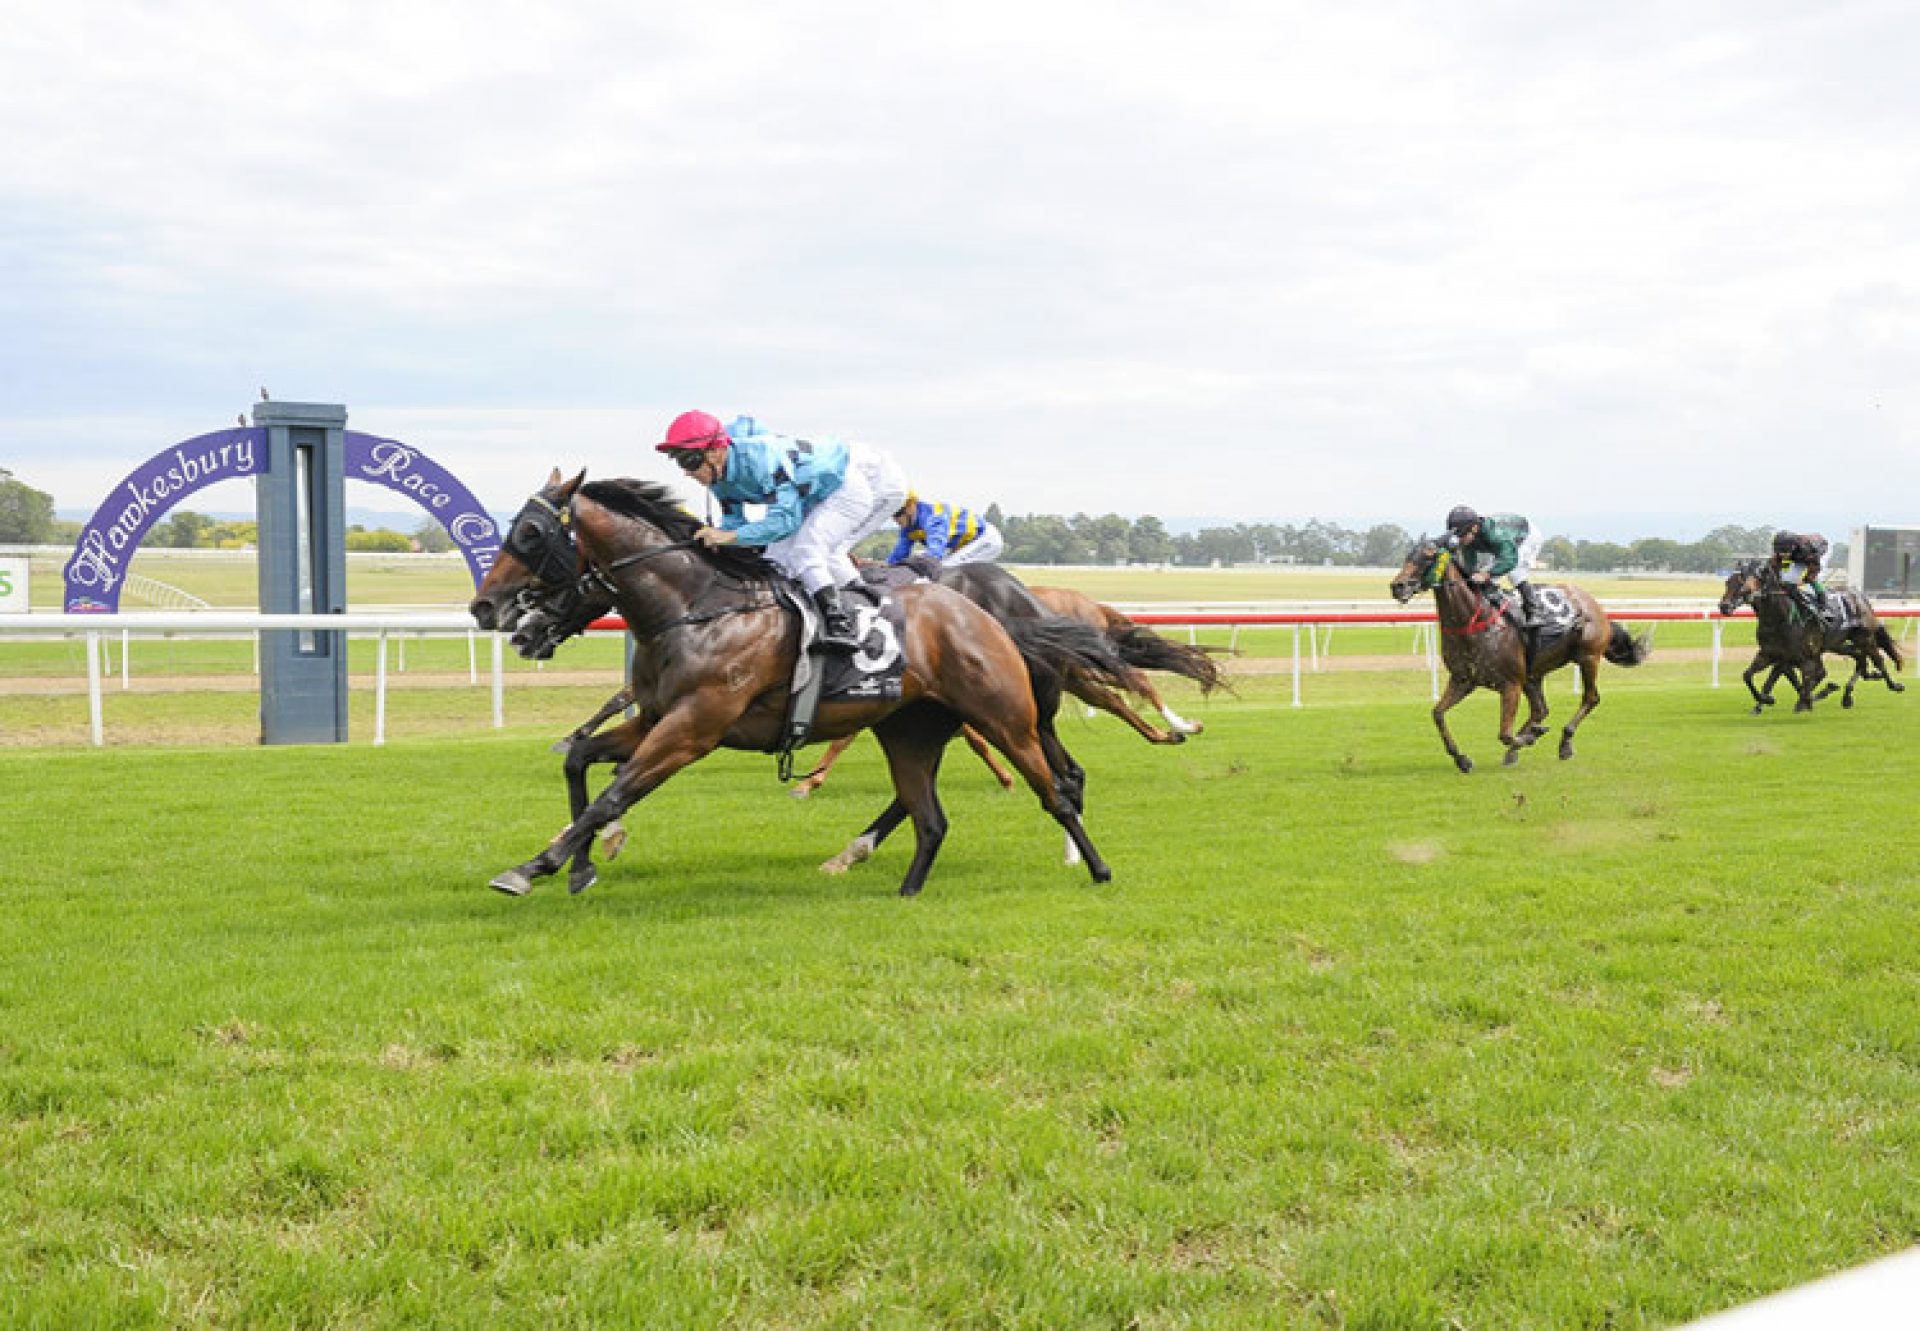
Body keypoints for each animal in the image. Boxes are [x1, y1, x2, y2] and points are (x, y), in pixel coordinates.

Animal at [466, 466, 1121, 891]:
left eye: (529, 533)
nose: (486, 608)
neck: (699, 606)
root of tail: (1000, 611)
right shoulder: (656, 719)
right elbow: (582, 762)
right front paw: (578, 862)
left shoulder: (693, 729)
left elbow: (614, 793)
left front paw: (536, 866)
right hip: (911, 728)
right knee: (930, 811)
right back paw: (890, 875)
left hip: (1006, 715)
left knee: (1057, 785)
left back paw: (1094, 865)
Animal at [1382, 537, 1651, 772]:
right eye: (1407, 555)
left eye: (1428, 556)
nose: (1398, 586)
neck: (1473, 621)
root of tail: (1594, 605)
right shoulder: (1463, 680)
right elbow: (1437, 714)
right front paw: (1461, 759)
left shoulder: (1510, 684)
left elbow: (1504, 733)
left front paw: (1529, 738)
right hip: (1532, 674)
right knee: (1540, 710)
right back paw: (1523, 743)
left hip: (1588, 658)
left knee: (1590, 697)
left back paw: (1564, 742)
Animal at [1720, 556, 1896, 710]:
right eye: (1728, 582)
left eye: (1757, 577)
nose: (1724, 606)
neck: (1779, 619)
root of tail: (1859, 596)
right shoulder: (1770, 654)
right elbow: (1749, 676)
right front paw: (1766, 700)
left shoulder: (1796, 656)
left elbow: (1792, 680)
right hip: (1838, 644)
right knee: (1859, 658)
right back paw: (1848, 694)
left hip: (1864, 638)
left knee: (1877, 659)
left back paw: (1893, 684)